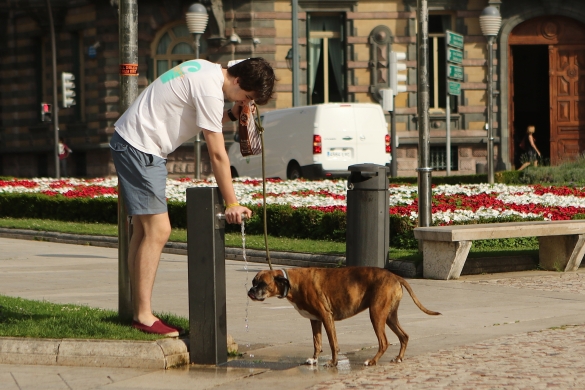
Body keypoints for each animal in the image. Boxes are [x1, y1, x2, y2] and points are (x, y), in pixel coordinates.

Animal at [244, 266, 440, 368]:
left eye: (262, 284)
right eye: (253, 282)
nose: (250, 291)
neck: (291, 282)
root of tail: (395, 276)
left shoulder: (326, 317)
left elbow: (333, 344)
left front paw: (333, 362)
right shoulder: (315, 321)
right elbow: (317, 343)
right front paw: (314, 359)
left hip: (376, 315)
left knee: (384, 342)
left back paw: (372, 361)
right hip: (390, 316)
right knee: (404, 336)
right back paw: (399, 358)